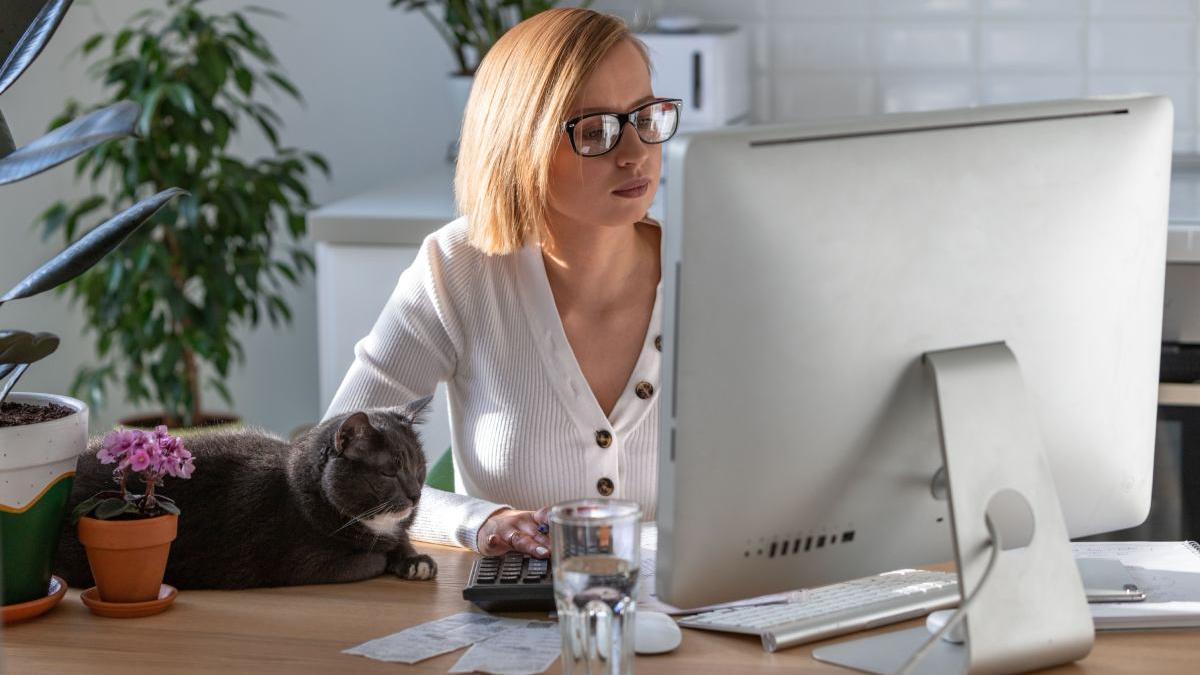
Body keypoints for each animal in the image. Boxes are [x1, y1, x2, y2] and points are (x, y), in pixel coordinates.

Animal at [56, 396, 439, 586]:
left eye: (419, 468)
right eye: (389, 471)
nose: (415, 495)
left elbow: (401, 541)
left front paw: (415, 560)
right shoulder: (311, 563)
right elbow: (371, 559)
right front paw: (390, 557)